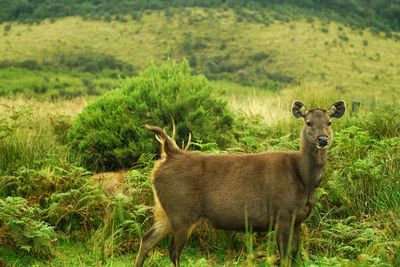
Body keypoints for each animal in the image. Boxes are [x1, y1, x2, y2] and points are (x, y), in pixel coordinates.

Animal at [134, 101, 344, 267]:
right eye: (308, 122)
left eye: (329, 122)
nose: (323, 139)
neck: (303, 178)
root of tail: (169, 154)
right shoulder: (283, 214)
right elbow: (284, 258)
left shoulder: (298, 219)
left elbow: (295, 257)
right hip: (182, 211)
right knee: (173, 251)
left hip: (166, 211)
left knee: (146, 239)